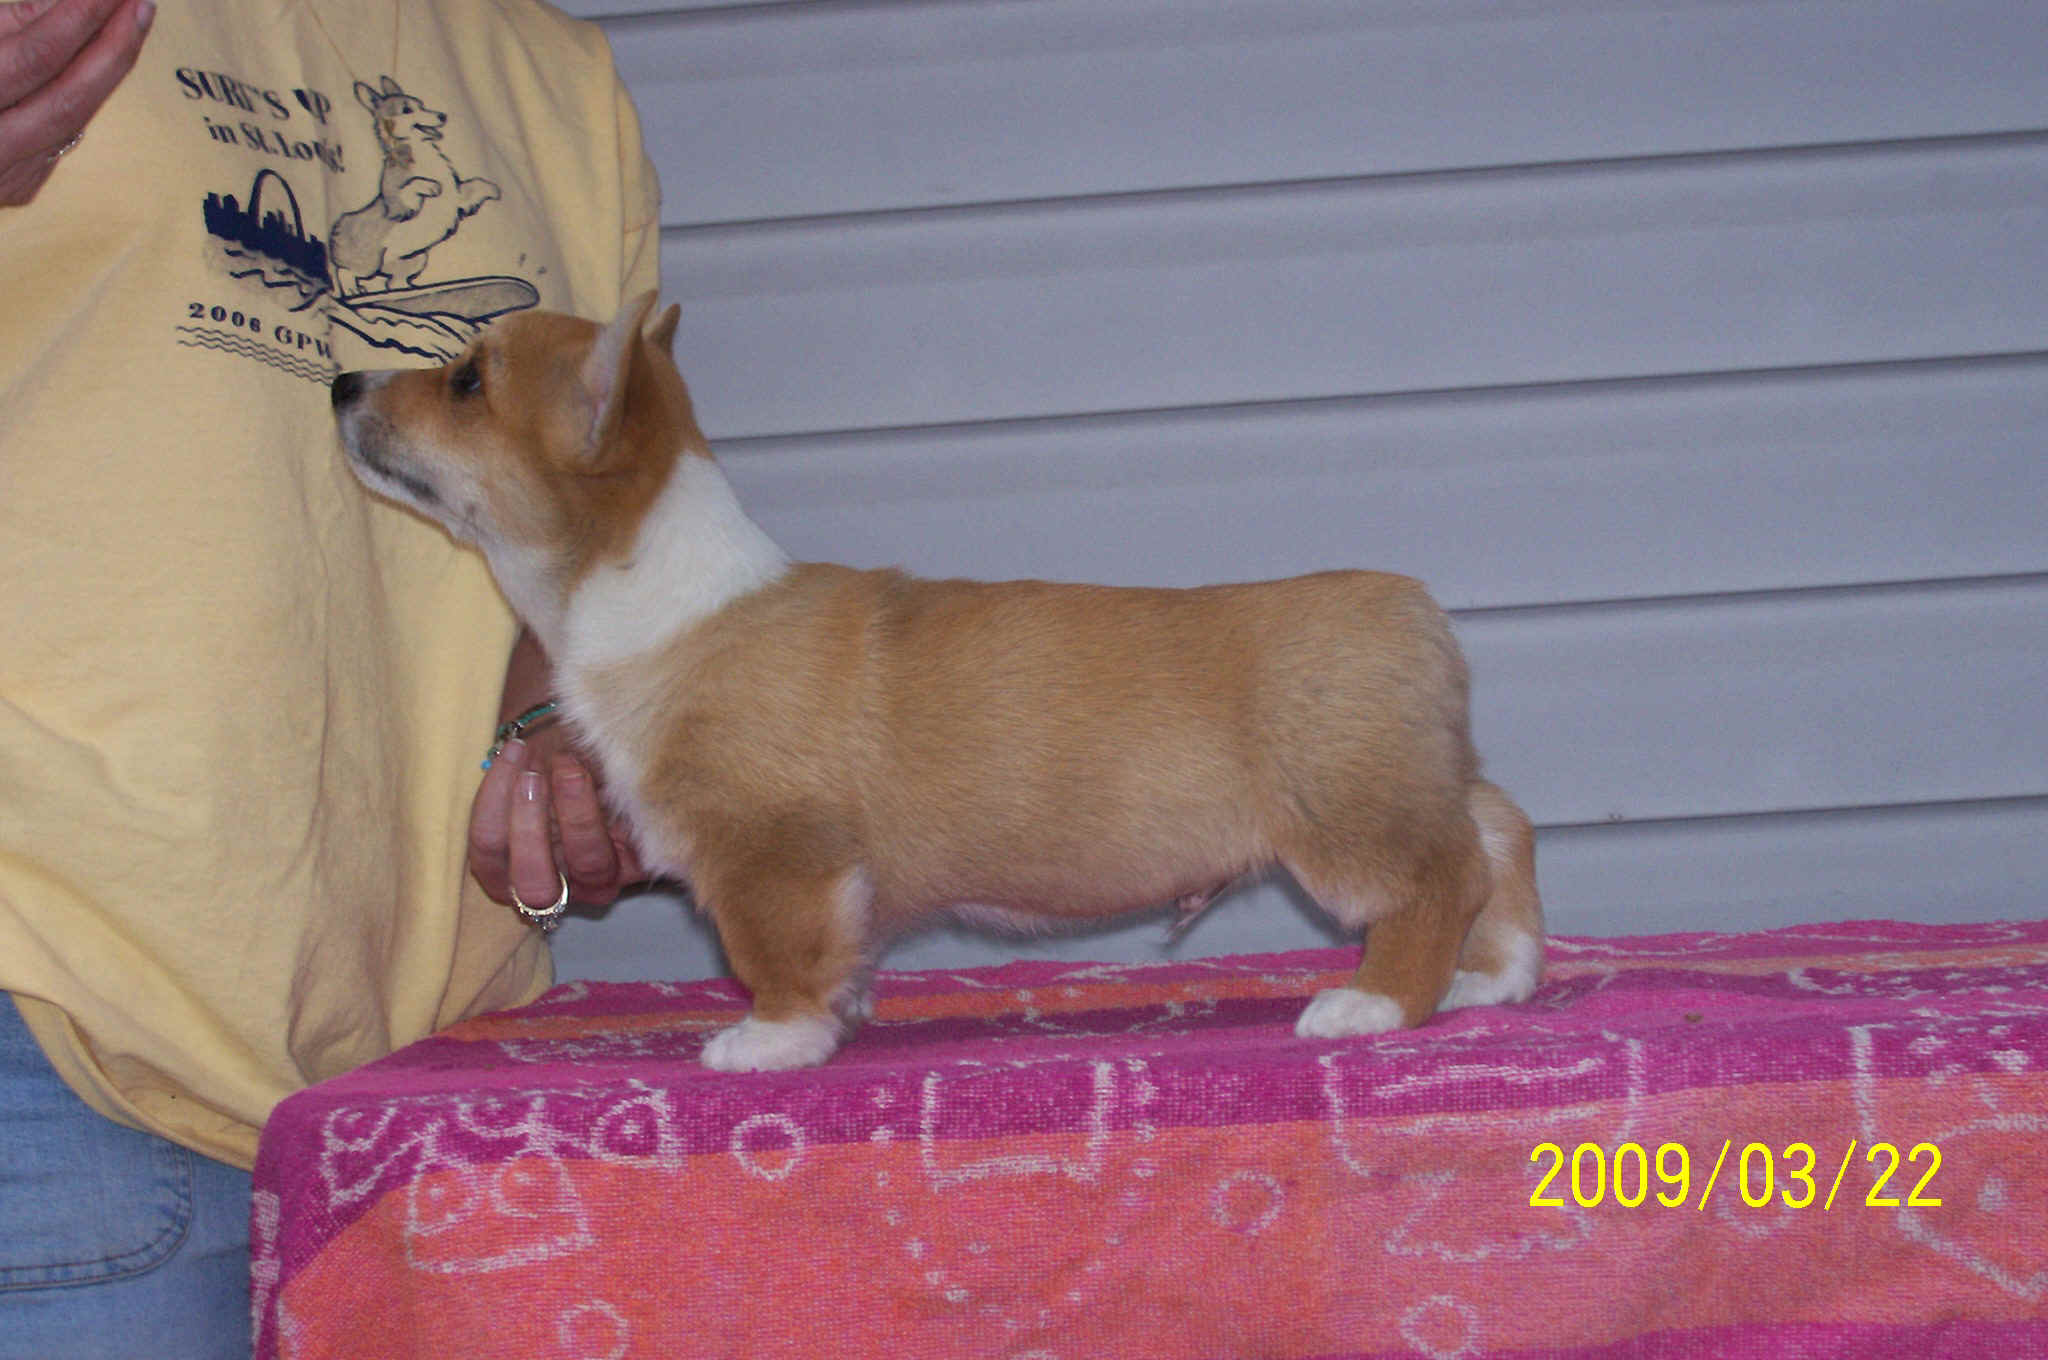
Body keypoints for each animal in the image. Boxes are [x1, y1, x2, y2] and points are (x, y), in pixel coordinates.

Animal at [328, 77, 501, 296]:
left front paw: (494, 190)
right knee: (345, 271)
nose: (442, 116)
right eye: (407, 110)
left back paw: (412, 289)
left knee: (394, 282)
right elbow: (411, 185)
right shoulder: (399, 207)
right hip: (369, 263)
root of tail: (339, 225)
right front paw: (432, 187)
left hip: (415, 259)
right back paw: (353, 290)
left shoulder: (458, 197)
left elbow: (476, 184)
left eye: (421, 104)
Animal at [330, 294, 1544, 1071]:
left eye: (466, 381)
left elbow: (770, 955)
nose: (341, 381)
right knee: (1496, 829)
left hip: (1347, 828)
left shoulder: (769, 857)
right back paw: (1497, 976)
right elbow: (836, 951)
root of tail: (1411, 605)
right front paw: (841, 1010)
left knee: (1438, 880)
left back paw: (1373, 1003)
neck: (653, 595)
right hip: (1407, 785)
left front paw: (770, 1039)